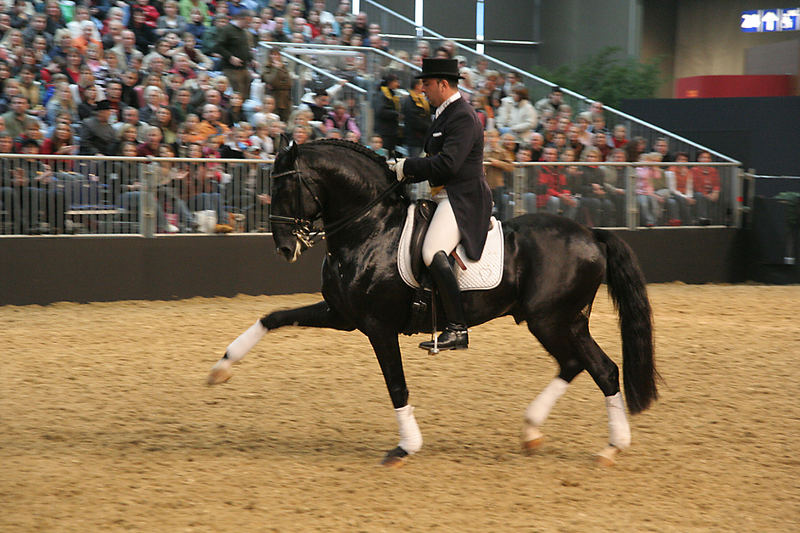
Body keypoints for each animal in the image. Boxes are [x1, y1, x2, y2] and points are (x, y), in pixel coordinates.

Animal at [209, 140, 660, 466]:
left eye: (284, 187)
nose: (285, 248)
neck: (368, 229)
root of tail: (591, 233)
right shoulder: (341, 315)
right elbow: (274, 317)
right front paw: (222, 367)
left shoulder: (378, 326)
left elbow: (396, 384)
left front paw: (405, 446)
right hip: (562, 321)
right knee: (584, 366)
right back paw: (545, 434)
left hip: (551, 319)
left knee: (597, 368)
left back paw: (605, 445)